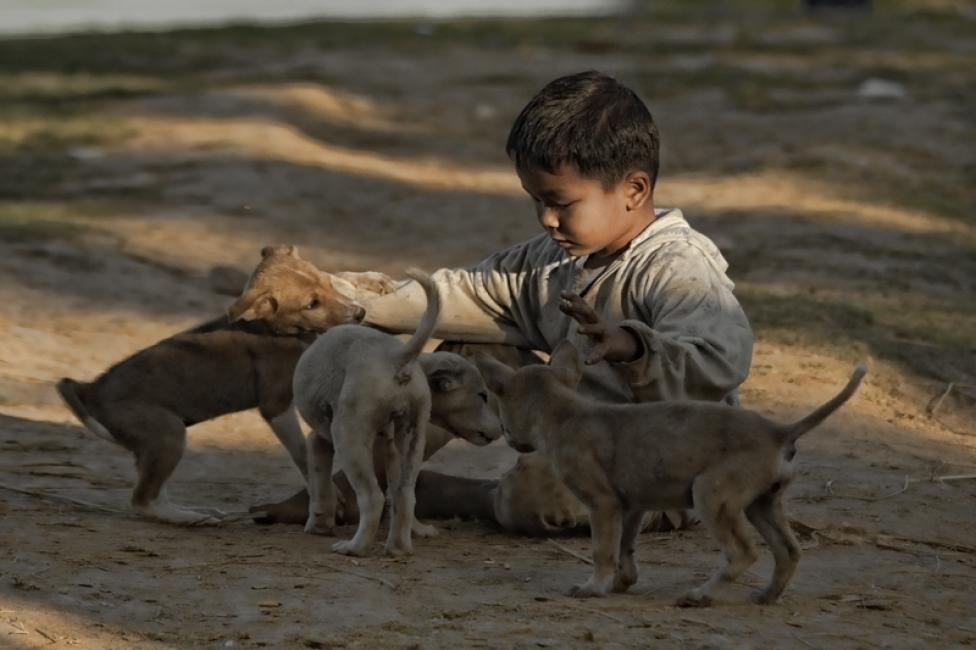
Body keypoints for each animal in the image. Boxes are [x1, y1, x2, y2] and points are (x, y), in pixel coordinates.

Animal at [57, 246, 370, 524]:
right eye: (312, 304)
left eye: (326, 280)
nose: (360, 313)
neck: (273, 328)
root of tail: (91, 390)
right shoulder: (275, 406)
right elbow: (301, 453)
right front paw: (333, 496)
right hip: (168, 434)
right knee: (142, 501)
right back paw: (190, 518)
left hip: (160, 444)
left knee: (155, 492)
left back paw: (197, 512)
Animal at [476, 342, 864, 604]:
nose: (505, 436)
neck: (563, 413)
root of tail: (778, 431)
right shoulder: (631, 506)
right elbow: (626, 549)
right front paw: (622, 583)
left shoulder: (602, 505)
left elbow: (603, 551)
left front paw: (593, 587)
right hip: (762, 505)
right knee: (789, 551)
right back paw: (767, 596)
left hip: (711, 497)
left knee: (742, 554)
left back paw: (700, 595)